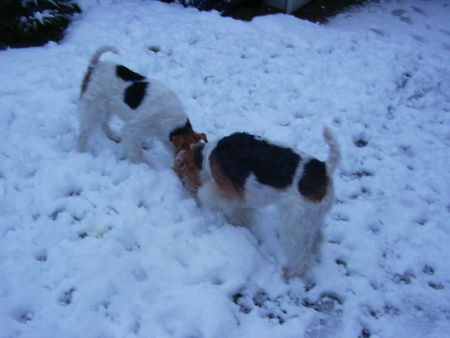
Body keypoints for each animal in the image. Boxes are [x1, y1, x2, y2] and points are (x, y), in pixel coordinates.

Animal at [76, 46, 207, 164]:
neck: (172, 121)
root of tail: (94, 66)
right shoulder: (133, 128)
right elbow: (136, 151)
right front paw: (141, 164)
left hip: (106, 107)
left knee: (103, 123)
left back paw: (114, 136)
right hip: (93, 108)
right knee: (84, 133)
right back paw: (82, 152)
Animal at [174, 128, 340, 278]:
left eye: (183, 171)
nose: (185, 187)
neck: (206, 156)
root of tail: (325, 169)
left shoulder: (229, 191)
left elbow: (207, 193)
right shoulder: (247, 195)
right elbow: (242, 211)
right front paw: (238, 224)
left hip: (294, 224)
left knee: (303, 257)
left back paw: (290, 273)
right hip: (311, 219)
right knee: (317, 239)